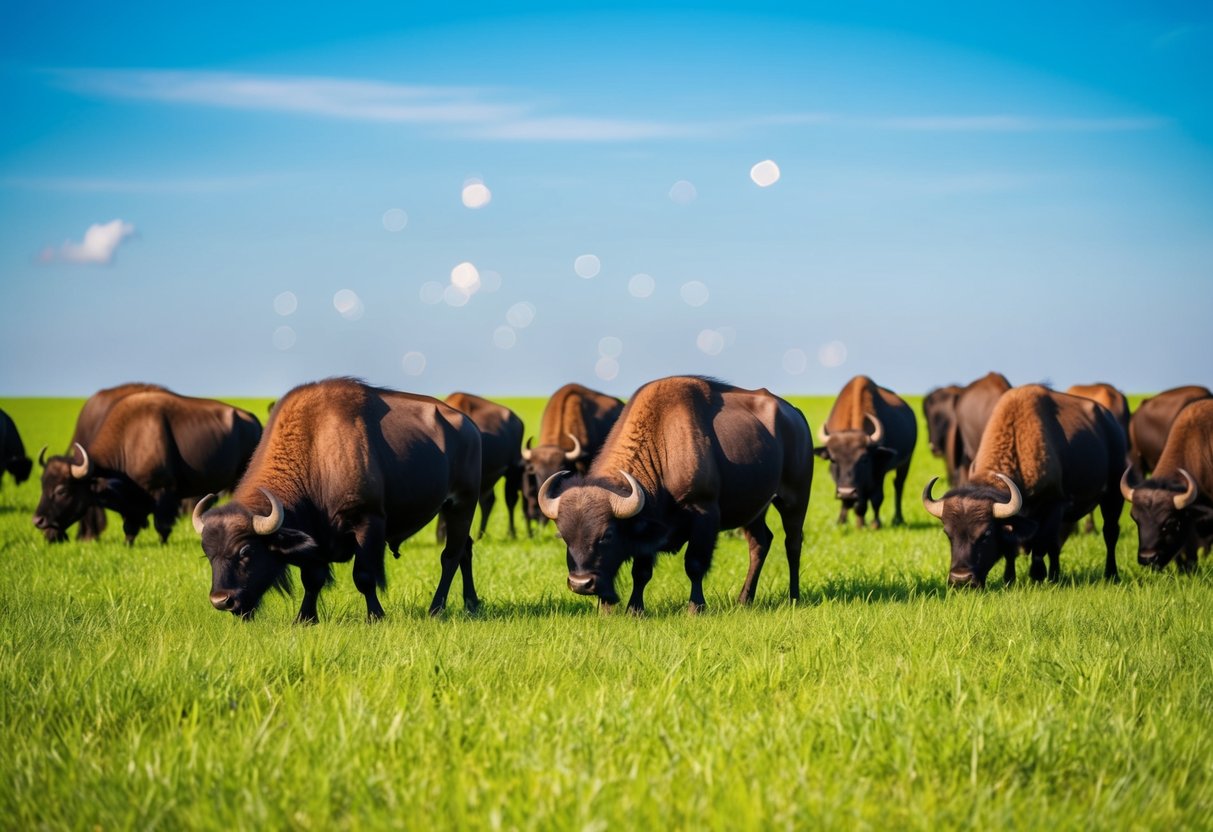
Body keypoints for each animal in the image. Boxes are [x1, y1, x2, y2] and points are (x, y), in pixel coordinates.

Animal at [33, 390, 261, 544]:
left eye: (62, 490)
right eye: (42, 485)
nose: (38, 521)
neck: (127, 440)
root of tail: (253, 421)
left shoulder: (162, 492)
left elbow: (162, 526)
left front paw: (162, 544)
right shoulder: (132, 503)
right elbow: (130, 526)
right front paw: (128, 544)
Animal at [193, 378, 482, 622]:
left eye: (246, 551)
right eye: (207, 553)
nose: (221, 600)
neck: (314, 450)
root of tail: (470, 427)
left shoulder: (366, 522)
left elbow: (364, 576)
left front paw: (375, 617)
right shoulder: (315, 541)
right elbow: (312, 579)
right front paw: (305, 619)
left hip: (462, 504)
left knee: (450, 556)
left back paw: (436, 609)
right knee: (465, 549)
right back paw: (471, 603)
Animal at [536, 375, 812, 613]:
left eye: (608, 534)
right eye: (564, 536)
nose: (581, 583)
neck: (661, 446)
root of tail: (796, 416)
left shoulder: (704, 515)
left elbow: (695, 564)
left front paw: (696, 608)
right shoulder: (648, 527)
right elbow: (641, 572)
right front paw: (634, 610)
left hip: (794, 501)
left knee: (792, 544)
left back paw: (794, 597)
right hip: (755, 511)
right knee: (760, 544)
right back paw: (744, 600)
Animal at [816, 375, 917, 528]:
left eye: (864, 459)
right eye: (833, 459)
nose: (847, 492)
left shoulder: (879, 472)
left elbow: (876, 498)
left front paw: (875, 524)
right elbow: (851, 502)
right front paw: (844, 522)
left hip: (906, 462)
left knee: (898, 485)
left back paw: (898, 518)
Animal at [922, 385, 1125, 587]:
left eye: (986, 533)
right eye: (948, 534)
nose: (961, 579)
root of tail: (1111, 422)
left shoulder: (1054, 506)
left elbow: (1041, 545)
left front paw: (1037, 576)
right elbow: (1014, 549)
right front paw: (1009, 579)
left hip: (1114, 495)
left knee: (1110, 533)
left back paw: (1111, 574)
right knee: (1059, 543)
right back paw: (1056, 575)